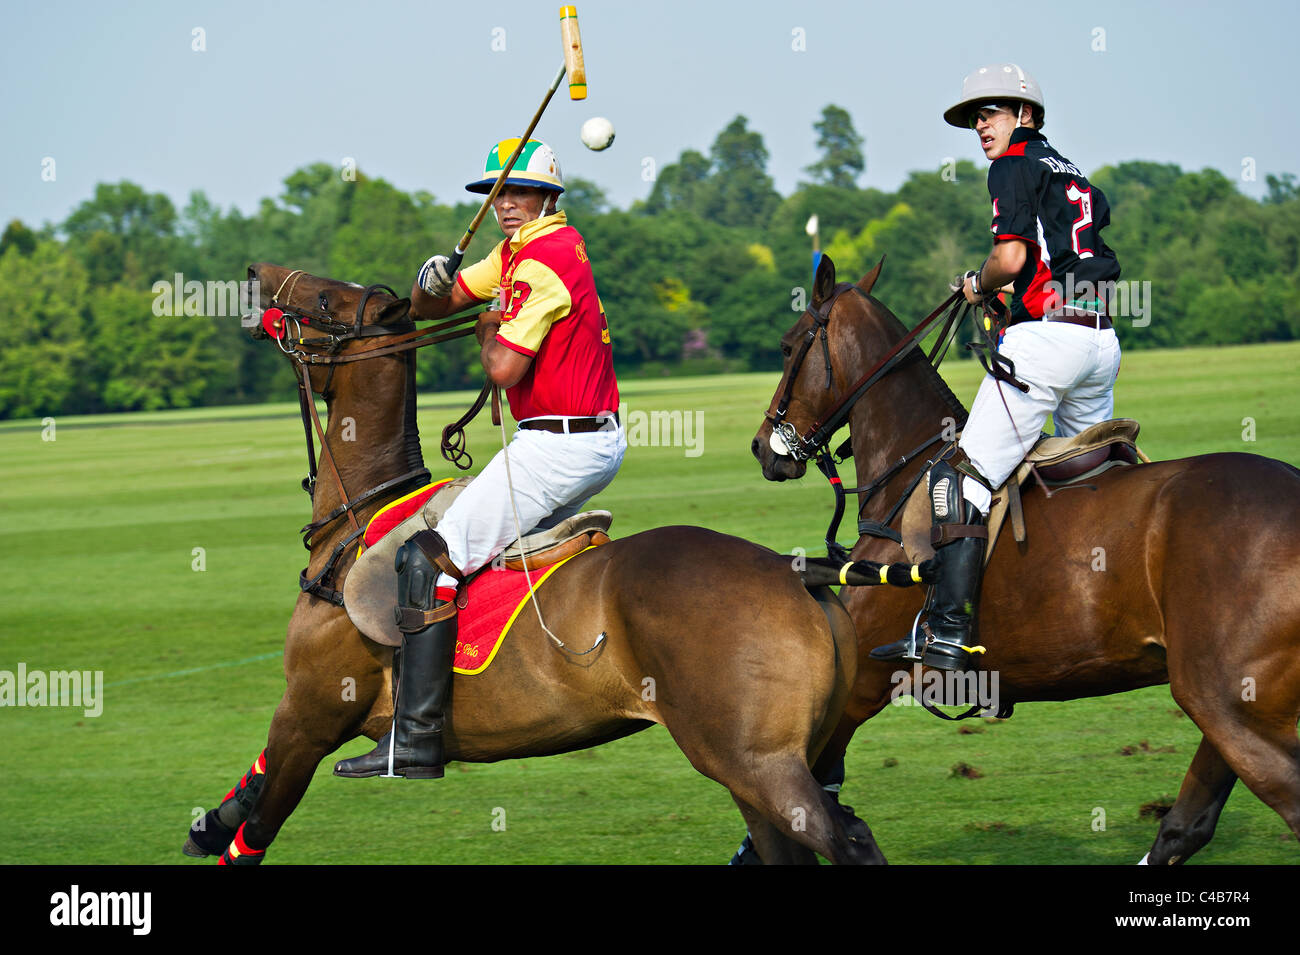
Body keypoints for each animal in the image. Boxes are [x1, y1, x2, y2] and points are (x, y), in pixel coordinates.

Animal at [185, 261, 883, 867]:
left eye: (327, 298)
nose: (254, 274)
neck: (356, 526)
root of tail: (796, 573)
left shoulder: (310, 709)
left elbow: (258, 828)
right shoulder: (303, 715)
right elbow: (252, 785)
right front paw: (207, 821)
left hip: (759, 761)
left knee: (850, 839)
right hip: (764, 765)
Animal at [754, 254, 1300, 867]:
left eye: (787, 346)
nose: (762, 448)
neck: (906, 468)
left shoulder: (861, 682)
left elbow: (805, 804)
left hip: (1227, 699)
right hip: (1230, 703)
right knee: (1188, 822)